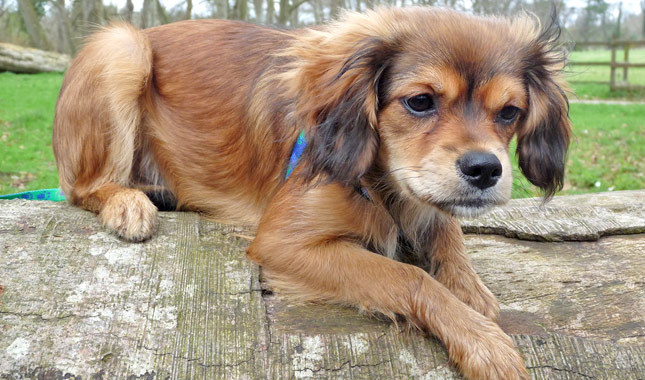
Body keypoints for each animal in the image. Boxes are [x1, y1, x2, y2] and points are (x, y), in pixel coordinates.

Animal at [54, 6, 568, 380]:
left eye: (510, 112)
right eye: (420, 102)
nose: (485, 169)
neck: (380, 181)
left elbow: (446, 233)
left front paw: (472, 293)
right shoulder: (283, 241)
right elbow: (409, 277)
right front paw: (482, 342)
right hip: (122, 48)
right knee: (83, 187)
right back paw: (127, 202)